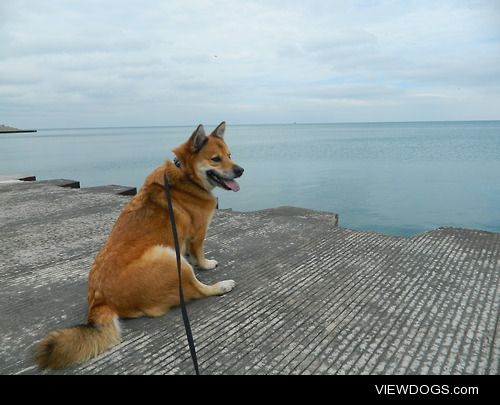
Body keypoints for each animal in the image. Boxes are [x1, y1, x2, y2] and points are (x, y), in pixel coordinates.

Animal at [36, 121, 243, 368]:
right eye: (215, 159)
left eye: (229, 155)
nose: (241, 170)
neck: (186, 175)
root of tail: (100, 301)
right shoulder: (198, 233)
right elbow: (199, 254)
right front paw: (206, 264)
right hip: (168, 257)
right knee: (197, 290)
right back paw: (222, 286)